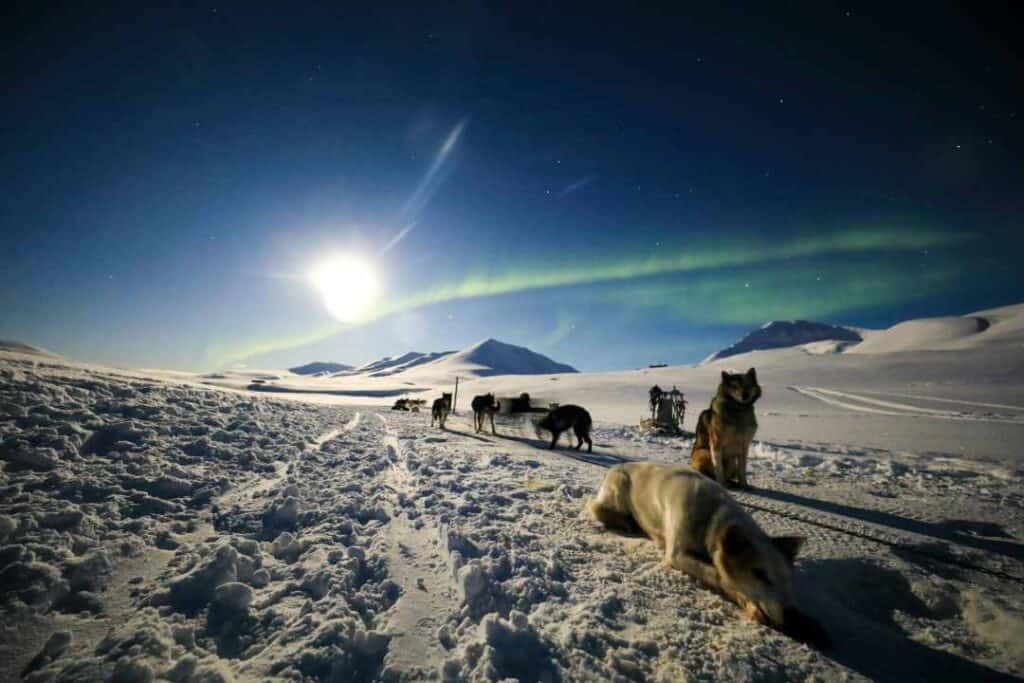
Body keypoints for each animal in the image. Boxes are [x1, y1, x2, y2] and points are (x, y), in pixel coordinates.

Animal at [589, 462, 802, 626]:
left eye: (787, 578)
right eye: (760, 574)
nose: (792, 616)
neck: (711, 515)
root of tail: (617, 465)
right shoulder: (677, 555)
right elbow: (717, 575)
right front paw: (746, 600)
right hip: (619, 488)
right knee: (596, 508)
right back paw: (627, 523)